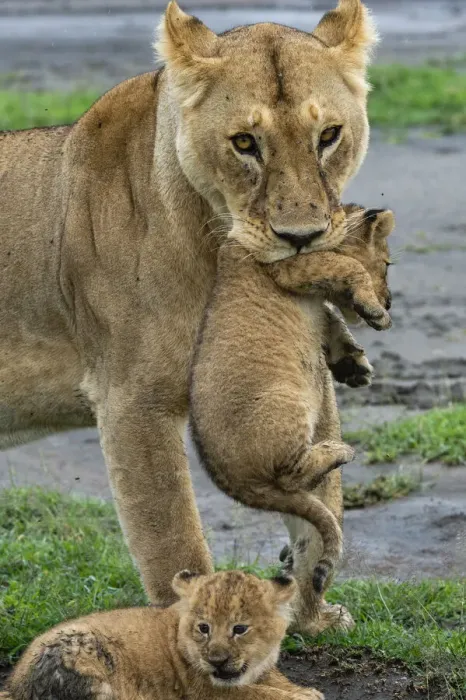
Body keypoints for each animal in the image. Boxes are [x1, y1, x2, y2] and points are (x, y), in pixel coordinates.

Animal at [1, 571, 323, 700]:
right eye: (203, 628)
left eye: (239, 629)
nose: (217, 661)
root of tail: (14, 684)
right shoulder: (204, 692)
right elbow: (256, 693)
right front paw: (304, 696)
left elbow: (274, 681)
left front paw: (303, 690)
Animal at [189, 205, 393, 635]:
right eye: (386, 264)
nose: (391, 302)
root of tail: (232, 480)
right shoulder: (287, 266)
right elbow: (346, 265)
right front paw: (373, 312)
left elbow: (331, 315)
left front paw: (354, 364)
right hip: (288, 401)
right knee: (290, 473)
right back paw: (338, 450)